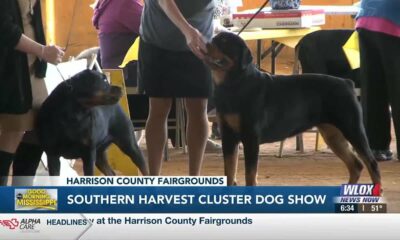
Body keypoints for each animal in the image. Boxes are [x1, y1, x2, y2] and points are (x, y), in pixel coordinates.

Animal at [205, 31, 380, 186]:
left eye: (224, 42)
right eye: (215, 38)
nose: (207, 43)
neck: (235, 83)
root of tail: (347, 83)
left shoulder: (251, 138)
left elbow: (250, 175)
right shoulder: (229, 137)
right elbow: (229, 172)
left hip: (352, 128)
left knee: (371, 163)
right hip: (333, 134)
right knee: (356, 165)